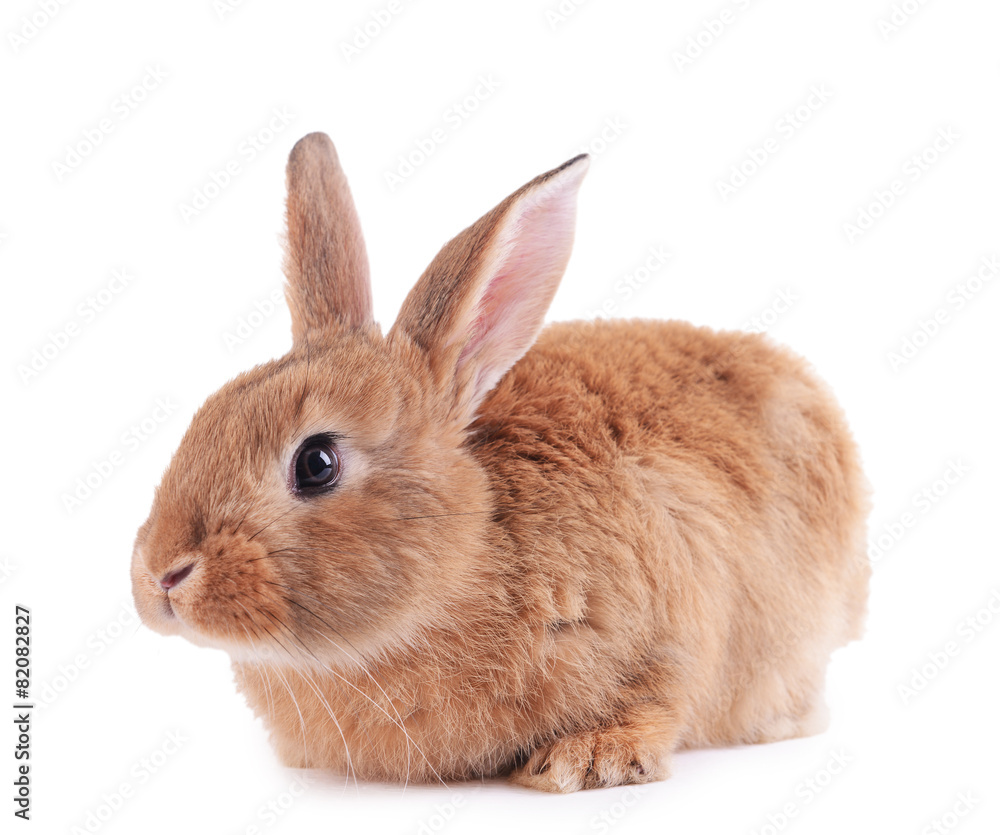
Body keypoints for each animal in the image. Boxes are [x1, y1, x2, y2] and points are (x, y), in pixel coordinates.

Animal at [131, 132, 870, 793]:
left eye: (316, 463)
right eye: (206, 415)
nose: (162, 575)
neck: (468, 557)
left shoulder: (678, 621)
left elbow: (661, 698)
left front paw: (585, 761)